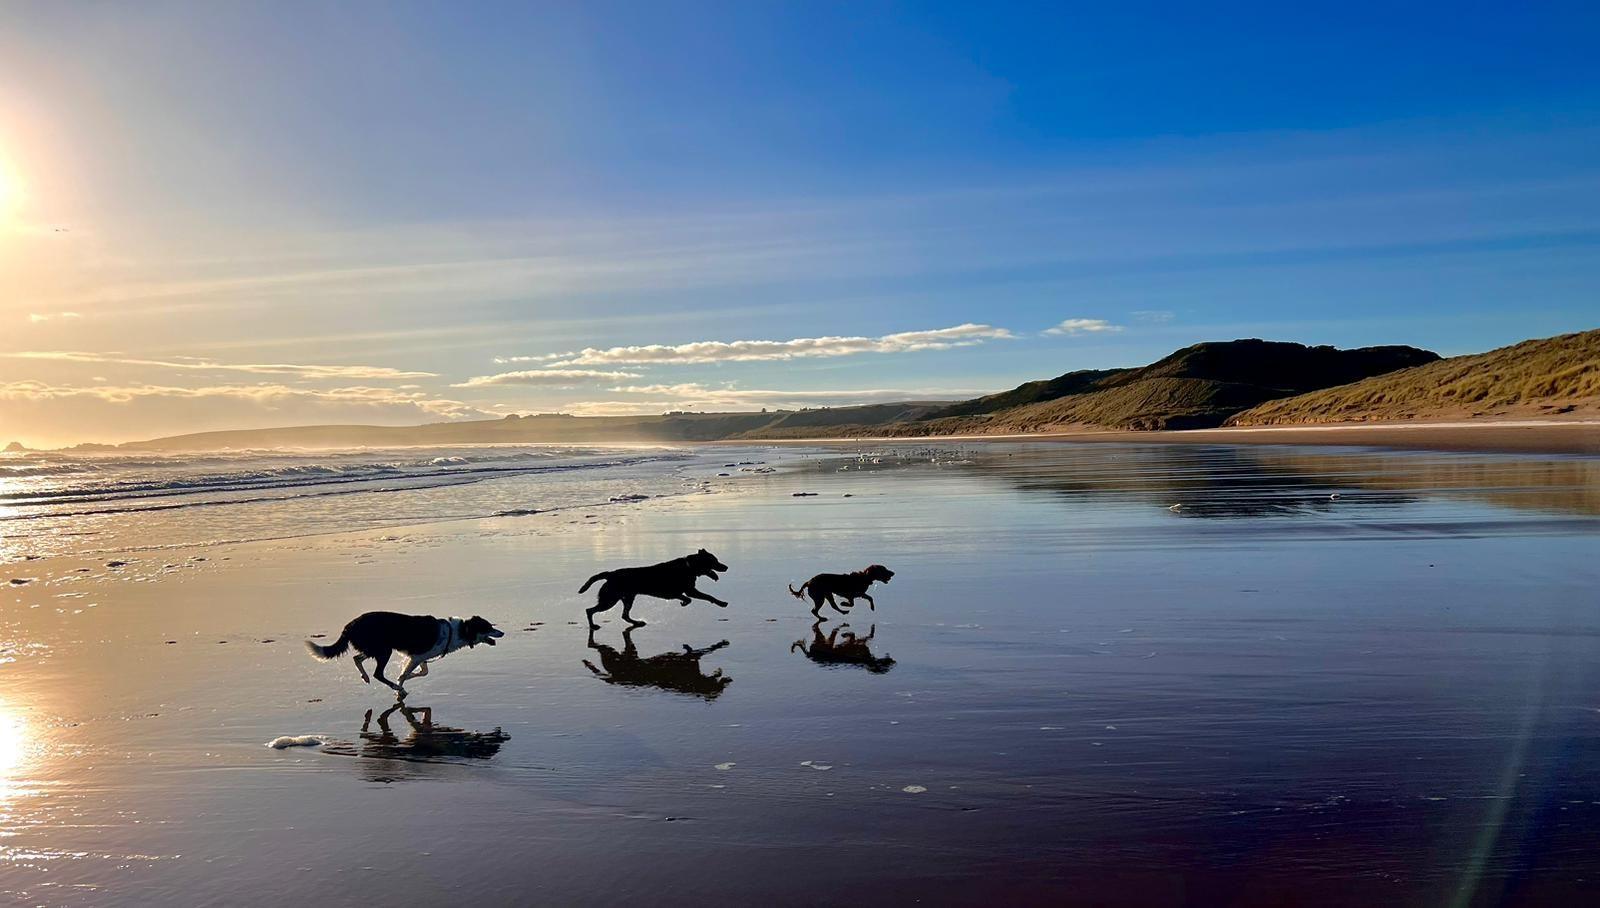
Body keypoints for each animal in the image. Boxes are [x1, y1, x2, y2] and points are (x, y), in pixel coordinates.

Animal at [300, 613, 499, 700]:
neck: (454, 631)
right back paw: (396, 688)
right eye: (488, 627)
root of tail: (350, 624)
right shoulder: (417, 656)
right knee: (378, 674)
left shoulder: (420, 657)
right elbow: (406, 674)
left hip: (375, 649)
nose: (502, 633)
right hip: (384, 650)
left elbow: (422, 672)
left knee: (357, 659)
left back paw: (365, 677)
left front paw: (408, 677)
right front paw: (401, 685)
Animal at [582, 546, 732, 629]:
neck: (689, 566)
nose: (726, 567)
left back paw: (637, 623)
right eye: (714, 561)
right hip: (610, 600)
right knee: (589, 610)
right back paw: (593, 626)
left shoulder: (682, 592)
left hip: (627, 598)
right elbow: (706, 596)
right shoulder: (689, 591)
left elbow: (689, 598)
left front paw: (683, 602)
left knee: (624, 615)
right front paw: (721, 603)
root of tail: (610, 574)